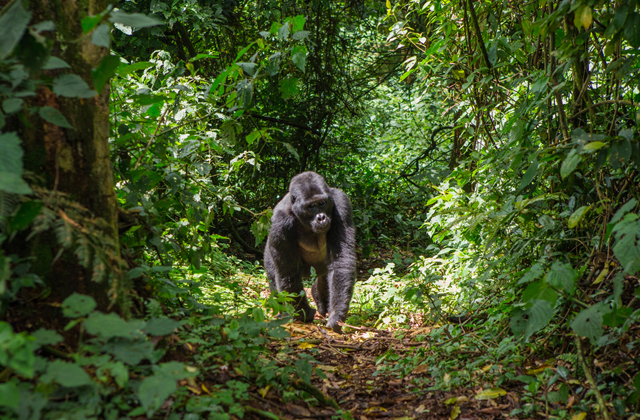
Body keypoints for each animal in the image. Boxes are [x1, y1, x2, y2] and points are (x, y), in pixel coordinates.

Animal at [262, 172, 358, 334]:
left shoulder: (341, 203)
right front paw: (304, 314)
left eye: (322, 203)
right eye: (311, 206)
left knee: (325, 276)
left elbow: (341, 260)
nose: (321, 217)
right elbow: (288, 273)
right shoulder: (279, 221)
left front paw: (336, 315)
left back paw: (319, 296)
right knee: (275, 275)